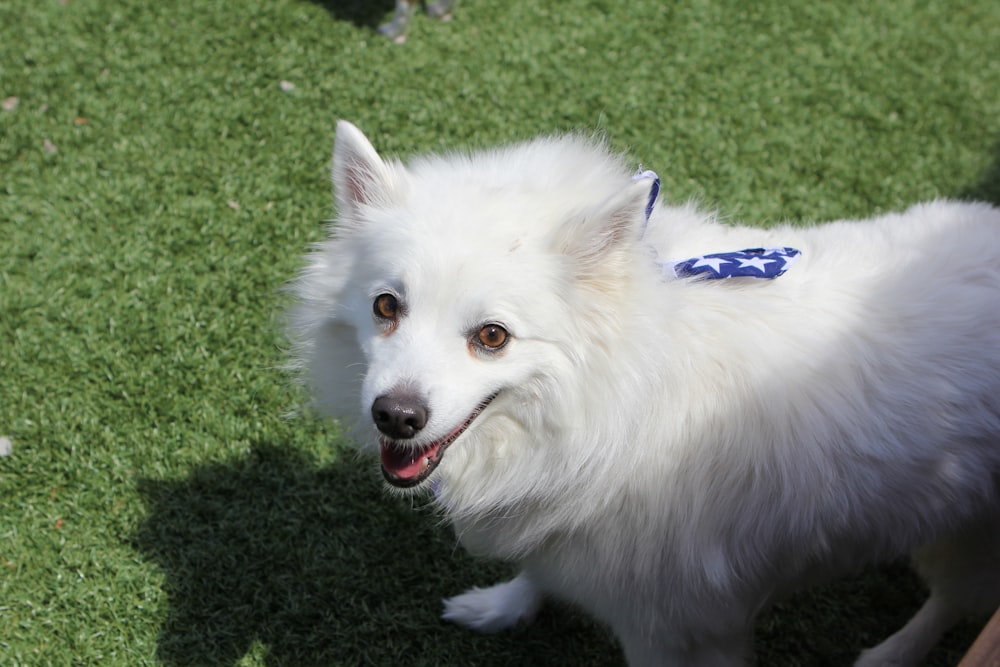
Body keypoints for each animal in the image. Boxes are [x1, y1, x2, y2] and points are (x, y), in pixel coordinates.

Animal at [292, 121, 1000, 667]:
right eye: (386, 306)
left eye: (492, 336)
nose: (395, 416)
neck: (618, 398)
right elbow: (537, 570)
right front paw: (504, 606)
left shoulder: (679, 629)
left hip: (963, 537)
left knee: (952, 603)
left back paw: (892, 653)